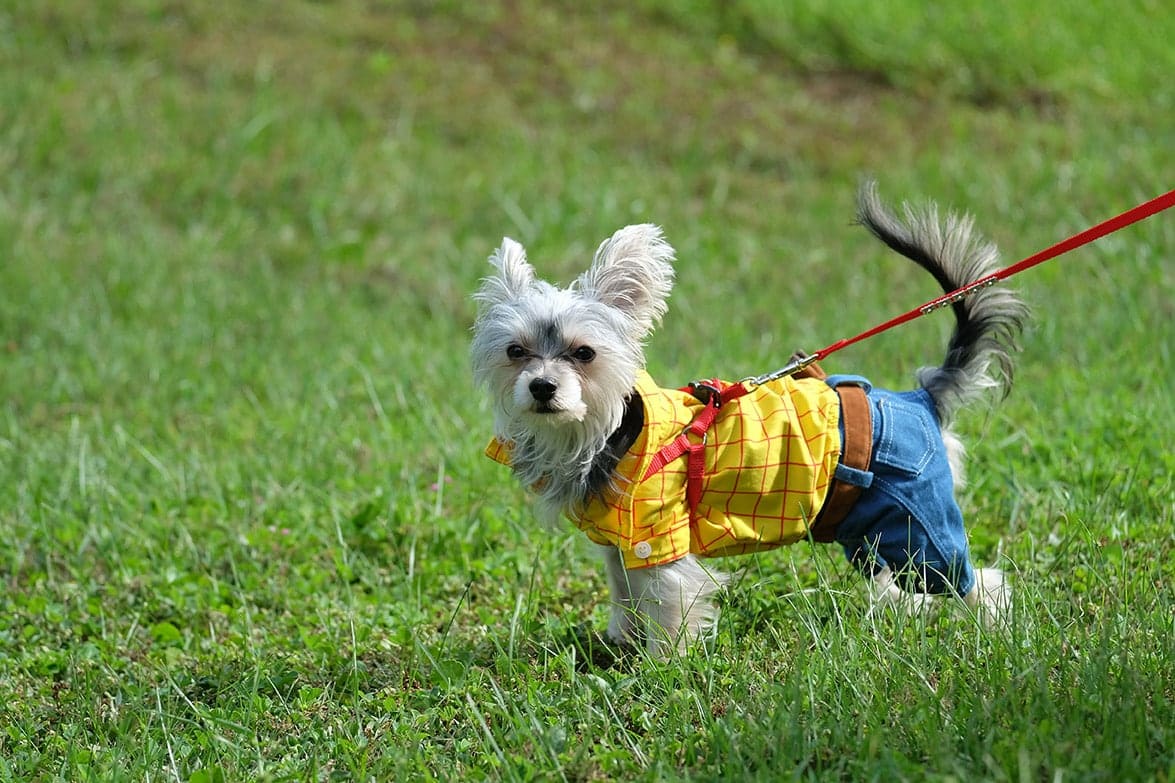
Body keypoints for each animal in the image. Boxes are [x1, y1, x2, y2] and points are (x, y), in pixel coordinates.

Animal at [471, 182, 1026, 657]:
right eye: (516, 351)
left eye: (583, 353)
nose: (542, 387)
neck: (609, 435)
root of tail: (921, 397)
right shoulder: (621, 544)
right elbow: (624, 593)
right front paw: (621, 642)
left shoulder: (661, 542)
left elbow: (669, 609)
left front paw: (663, 669)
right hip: (876, 530)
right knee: (900, 580)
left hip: (920, 522)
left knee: (977, 582)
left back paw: (996, 629)